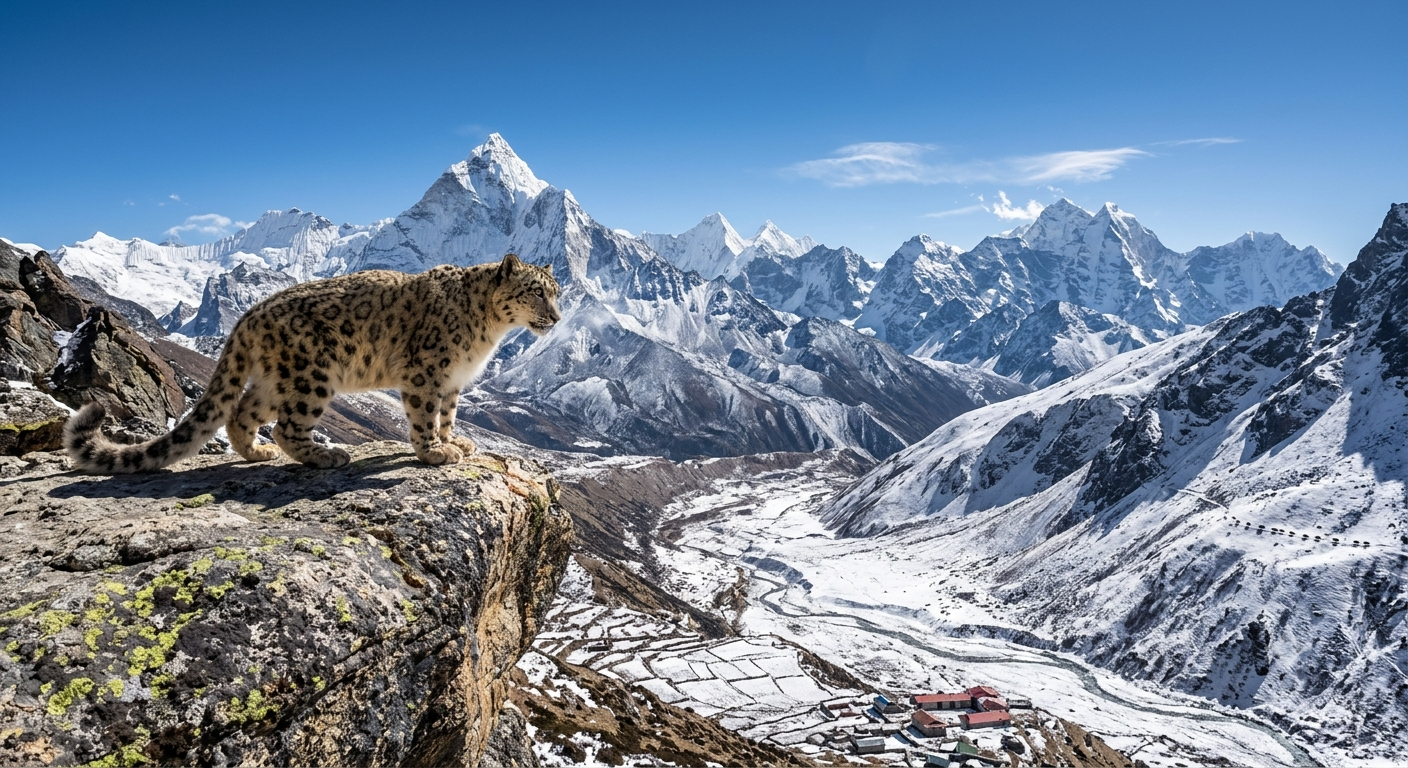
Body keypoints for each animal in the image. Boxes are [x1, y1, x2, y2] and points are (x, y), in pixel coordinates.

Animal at [65, 253, 560, 473]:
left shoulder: (454, 381)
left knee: (241, 412)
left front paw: (455, 441)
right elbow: (424, 417)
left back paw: (257, 453)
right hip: (312, 376)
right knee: (286, 426)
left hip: (275, 381)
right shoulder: (426, 374)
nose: (556, 317)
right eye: (536, 291)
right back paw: (327, 455)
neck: (489, 333)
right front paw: (434, 452)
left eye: (556, 291)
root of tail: (249, 314)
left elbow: (448, 415)